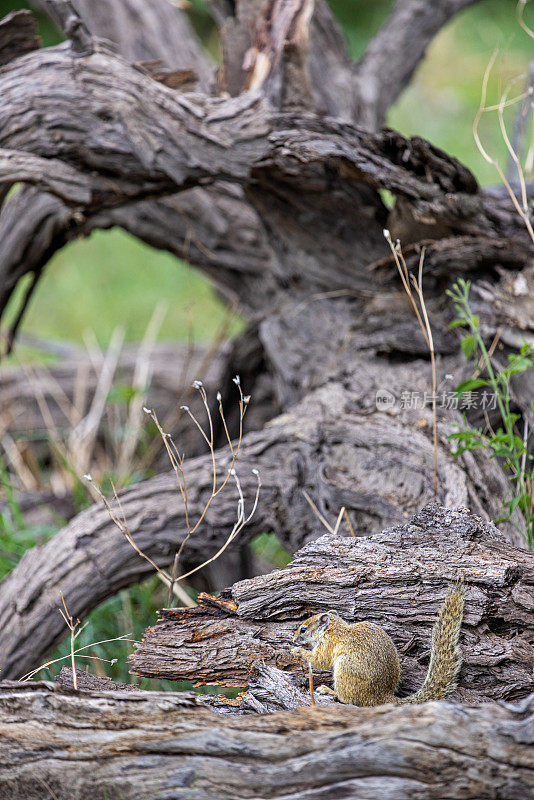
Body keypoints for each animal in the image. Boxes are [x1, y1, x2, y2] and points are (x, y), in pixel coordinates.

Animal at [294, 576, 464, 708]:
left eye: (303, 629)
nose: (294, 639)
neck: (334, 629)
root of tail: (381, 696)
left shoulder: (328, 644)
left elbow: (320, 660)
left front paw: (298, 651)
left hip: (345, 668)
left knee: (348, 699)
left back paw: (330, 691)